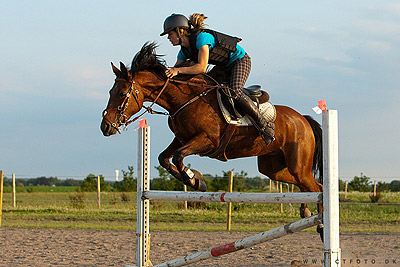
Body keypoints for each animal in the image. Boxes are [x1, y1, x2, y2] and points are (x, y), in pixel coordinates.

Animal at [101, 42, 324, 230]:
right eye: (110, 92)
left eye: (121, 94)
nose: (105, 126)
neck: (184, 99)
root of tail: (303, 119)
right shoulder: (181, 139)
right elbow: (164, 158)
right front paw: (195, 178)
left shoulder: (208, 140)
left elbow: (178, 156)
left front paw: (194, 179)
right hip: (273, 168)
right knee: (311, 185)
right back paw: (306, 210)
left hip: (297, 165)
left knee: (315, 186)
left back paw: (321, 224)